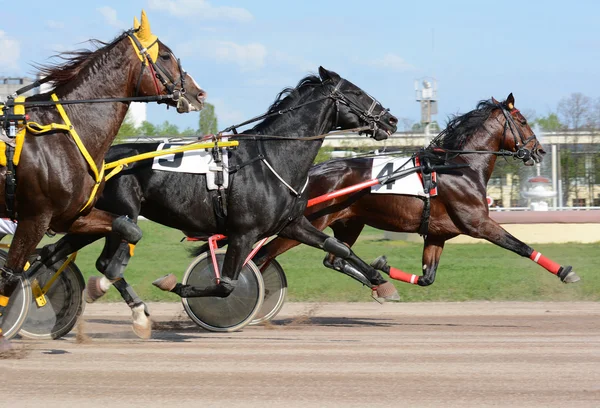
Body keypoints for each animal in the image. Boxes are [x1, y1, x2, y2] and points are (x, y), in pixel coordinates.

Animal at [0, 11, 206, 342]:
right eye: (165, 55)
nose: (198, 93)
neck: (63, 133)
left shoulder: (71, 216)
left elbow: (128, 229)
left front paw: (118, 291)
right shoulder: (35, 218)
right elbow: (10, 275)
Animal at [42, 66, 398, 334]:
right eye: (355, 92)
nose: (391, 120)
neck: (271, 158)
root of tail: (97, 161)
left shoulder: (292, 224)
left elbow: (339, 248)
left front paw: (381, 281)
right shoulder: (243, 233)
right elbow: (225, 284)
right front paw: (175, 286)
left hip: (93, 220)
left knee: (55, 253)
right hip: (122, 215)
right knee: (104, 264)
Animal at [254, 95, 580, 292]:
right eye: (523, 121)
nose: (539, 150)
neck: (458, 166)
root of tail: (310, 173)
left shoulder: (437, 234)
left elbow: (426, 277)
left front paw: (383, 266)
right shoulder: (478, 223)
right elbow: (521, 246)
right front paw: (566, 271)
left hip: (349, 223)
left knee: (334, 257)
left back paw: (379, 285)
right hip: (305, 224)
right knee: (264, 256)